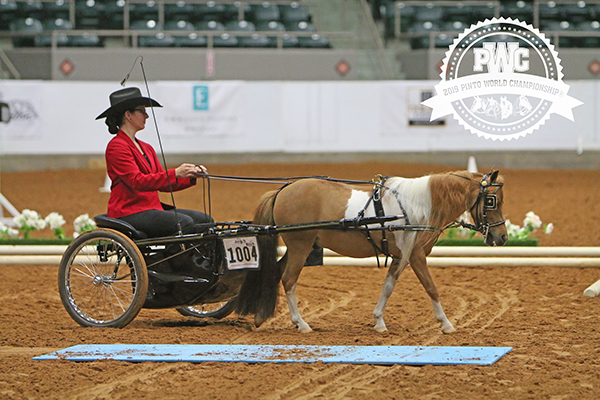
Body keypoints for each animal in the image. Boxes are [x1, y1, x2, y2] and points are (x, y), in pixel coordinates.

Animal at [234, 170, 506, 332]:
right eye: (492, 201)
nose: (501, 237)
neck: (417, 205)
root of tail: (283, 189)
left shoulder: (401, 256)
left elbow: (388, 286)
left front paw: (378, 321)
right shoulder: (414, 254)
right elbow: (431, 287)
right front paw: (446, 323)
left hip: (300, 247)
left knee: (276, 272)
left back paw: (261, 316)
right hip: (300, 246)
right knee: (288, 280)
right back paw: (301, 324)